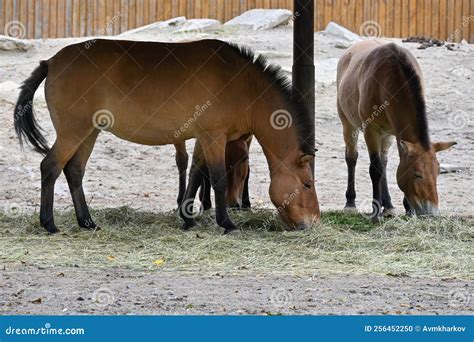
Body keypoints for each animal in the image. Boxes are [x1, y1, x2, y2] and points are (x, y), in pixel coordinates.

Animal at [13, 38, 318, 234]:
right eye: (307, 184)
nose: (313, 222)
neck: (242, 85)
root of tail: (51, 62)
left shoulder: (202, 138)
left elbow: (195, 174)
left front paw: (188, 219)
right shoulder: (214, 137)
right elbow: (217, 178)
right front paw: (226, 223)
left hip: (88, 133)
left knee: (74, 171)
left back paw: (87, 222)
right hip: (72, 132)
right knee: (50, 167)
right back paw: (49, 224)